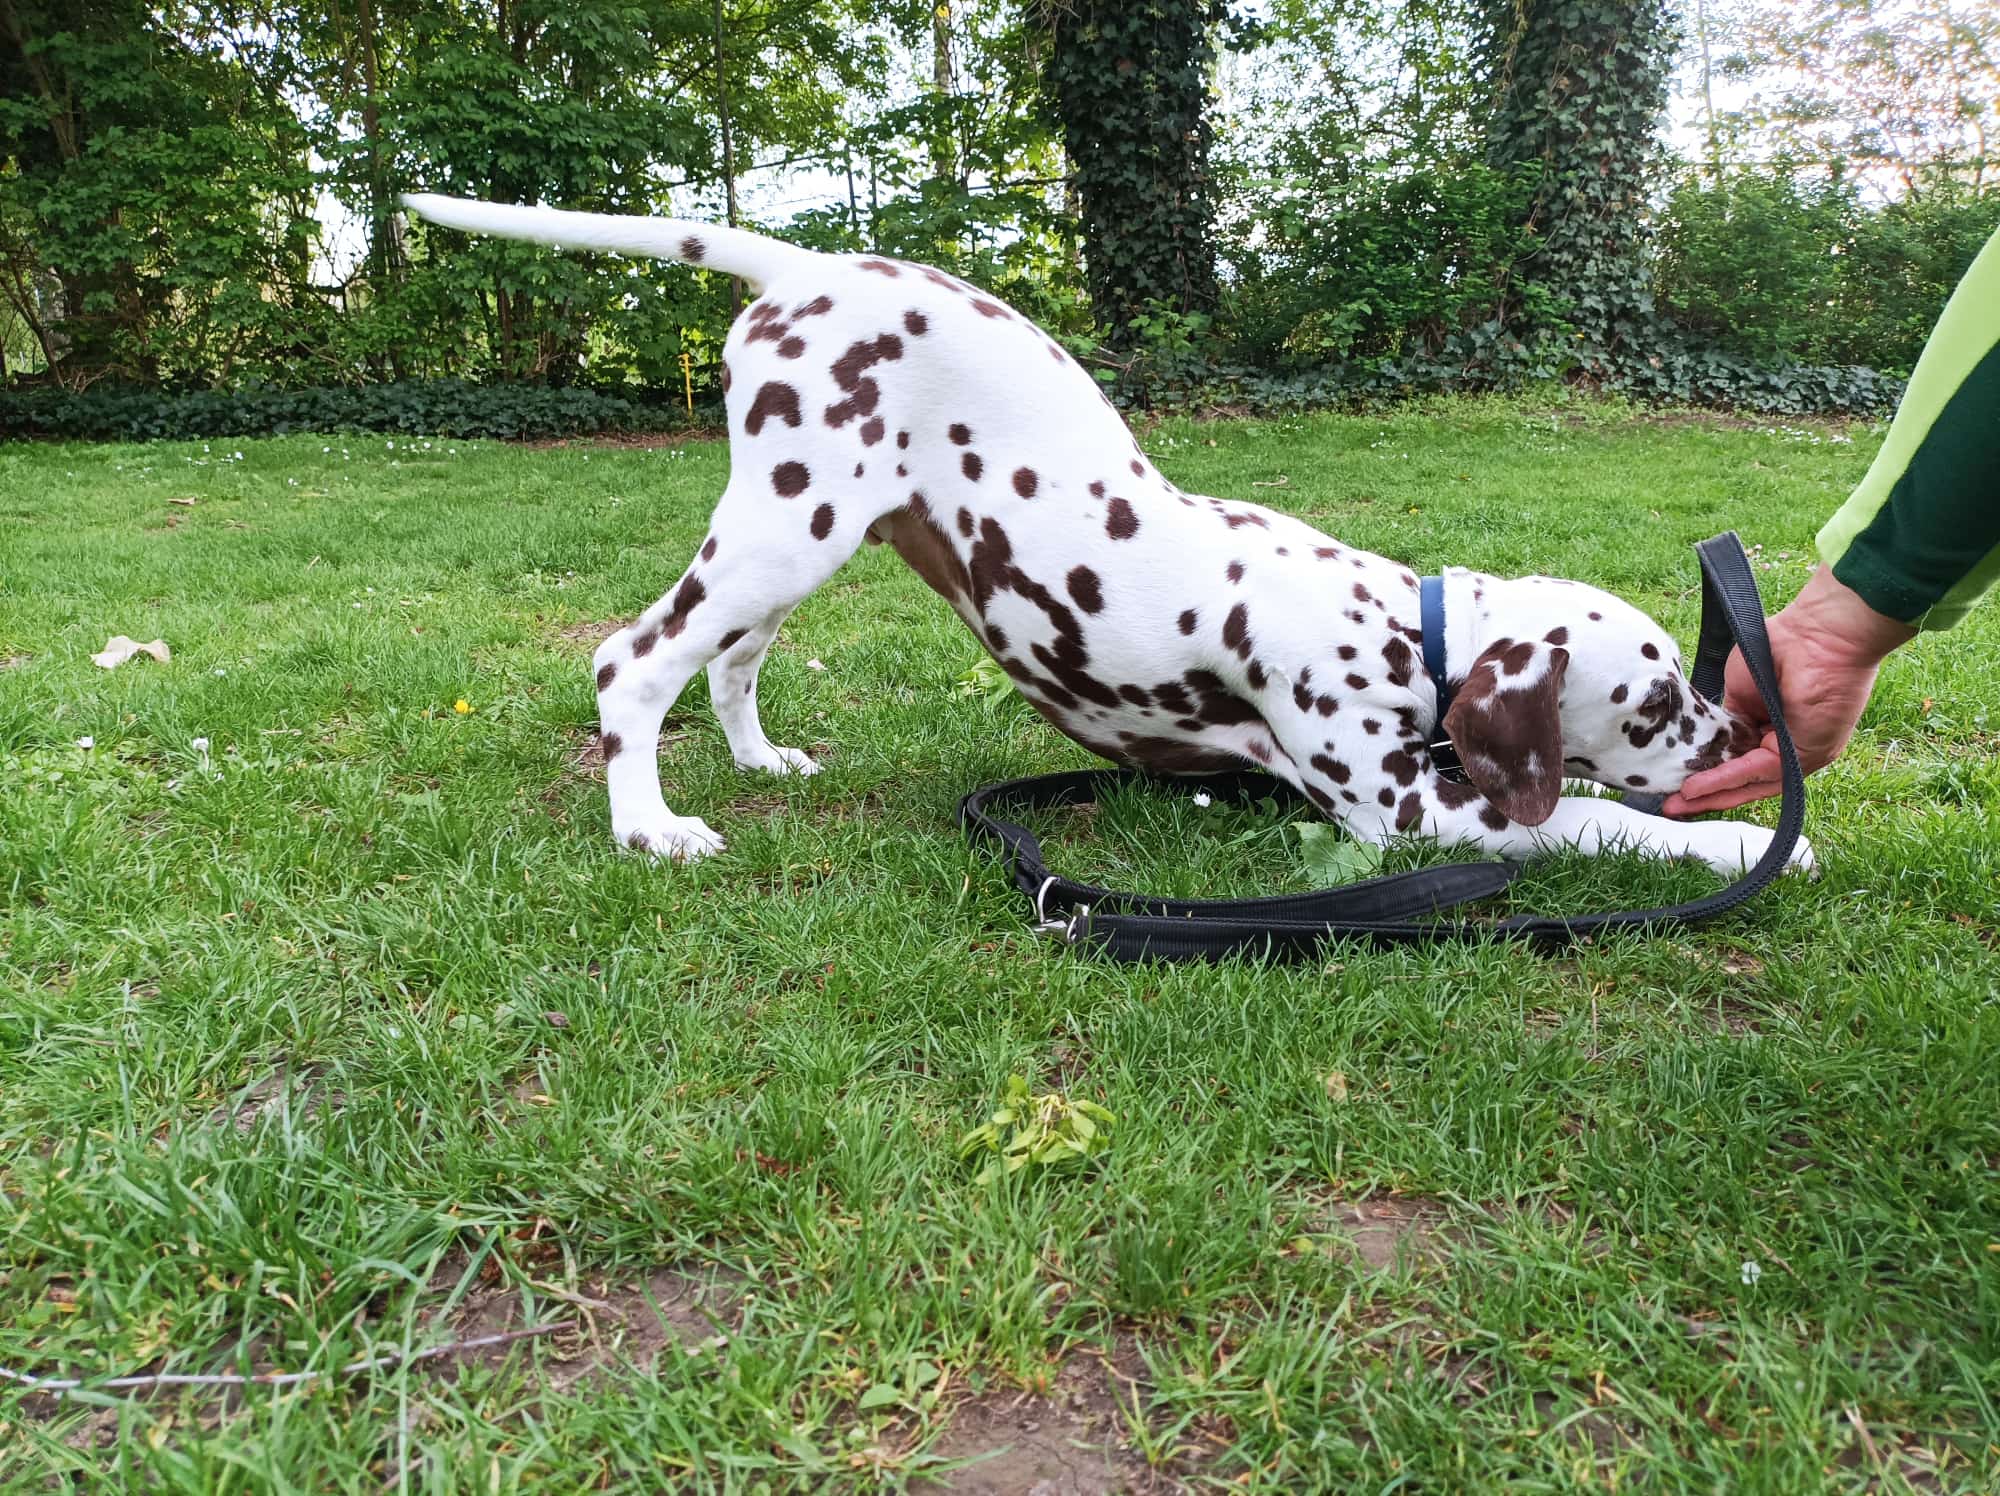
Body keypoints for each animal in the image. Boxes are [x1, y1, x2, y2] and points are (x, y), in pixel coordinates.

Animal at [403, 195, 1812, 879]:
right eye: (1651, 698)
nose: (1734, 736)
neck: (1403, 633)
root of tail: (802, 265)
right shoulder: (1416, 818)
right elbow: (1597, 819)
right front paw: (1752, 842)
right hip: (780, 534)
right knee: (633, 663)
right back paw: (650, 828)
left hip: (804, 541)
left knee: (730, 659)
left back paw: (759, 761)